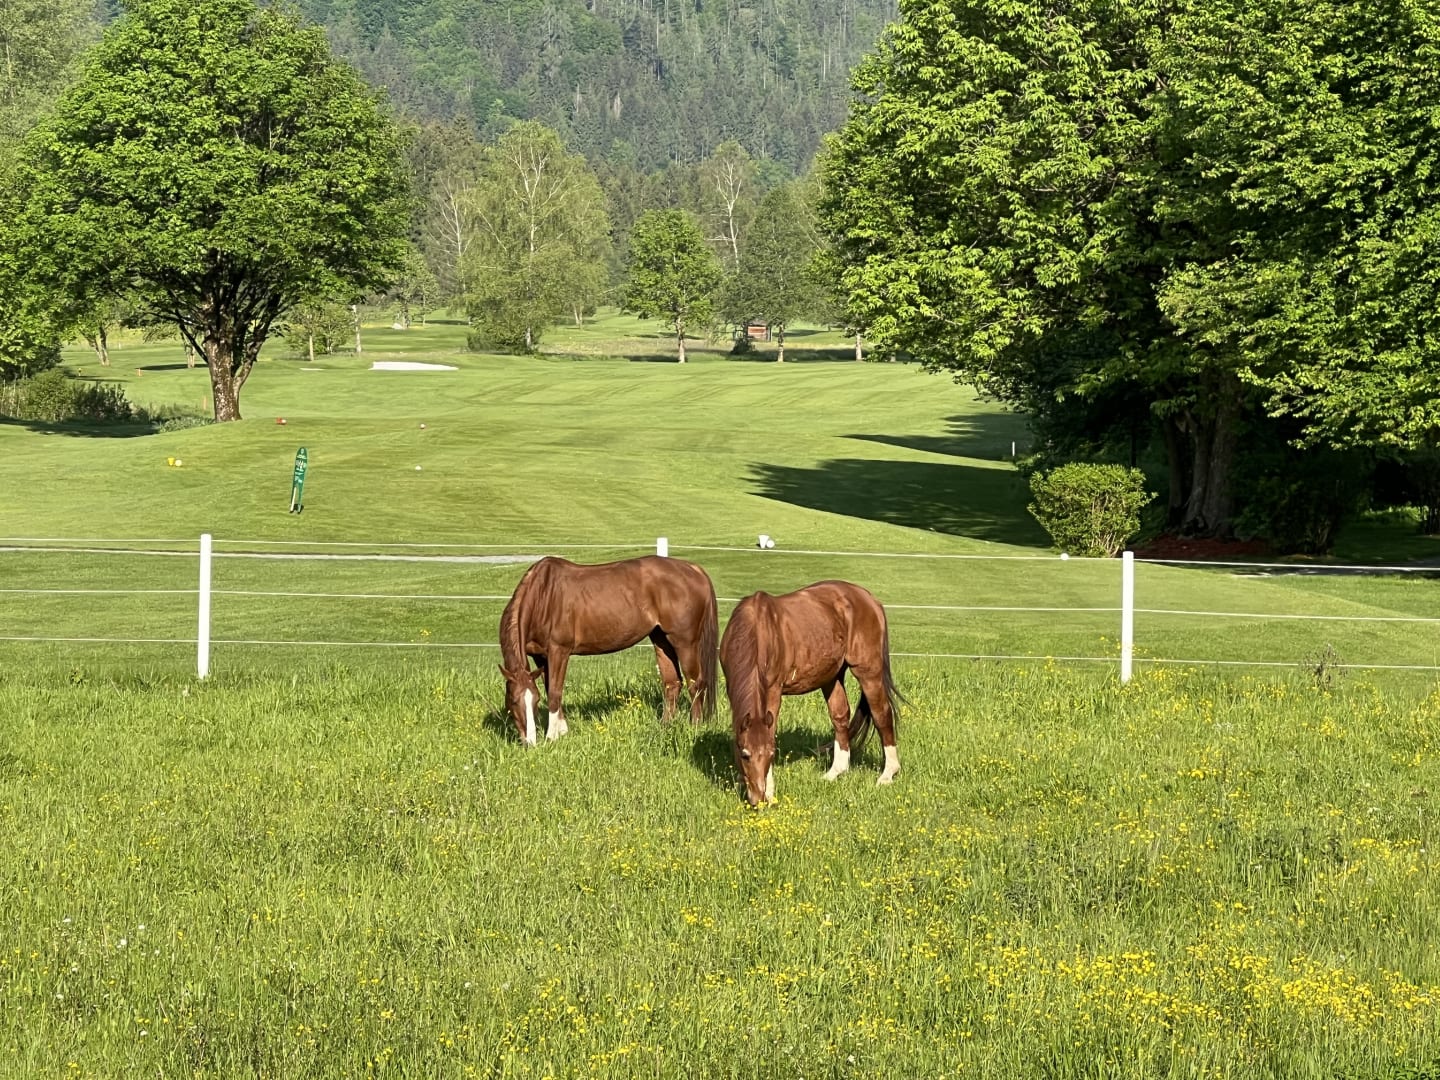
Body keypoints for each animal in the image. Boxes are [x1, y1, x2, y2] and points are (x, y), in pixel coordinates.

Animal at [497, 555, 719, 746]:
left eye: (534, 701)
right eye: (513, 701)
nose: (530, 743)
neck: (544, 595)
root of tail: (695, 569)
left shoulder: (559, 651)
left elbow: (555, 692)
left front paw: (552, 737)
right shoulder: (540, 657)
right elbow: (550, 687)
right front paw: (562, 731)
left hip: (684, 642)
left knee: (695, 683)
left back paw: (695, 726)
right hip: (661, 640)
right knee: (672, 684)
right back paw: (665, 726)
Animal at [719, 580, 903, 806]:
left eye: (771, 754)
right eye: (745, 755)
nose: (759, 799)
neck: (756, 631)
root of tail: (869, 599)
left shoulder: (773, 691)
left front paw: (770, 791)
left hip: (868, 671)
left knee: (881, 714)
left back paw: (888, 774)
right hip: (832, 676)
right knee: (840, 716)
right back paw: (835, 772)